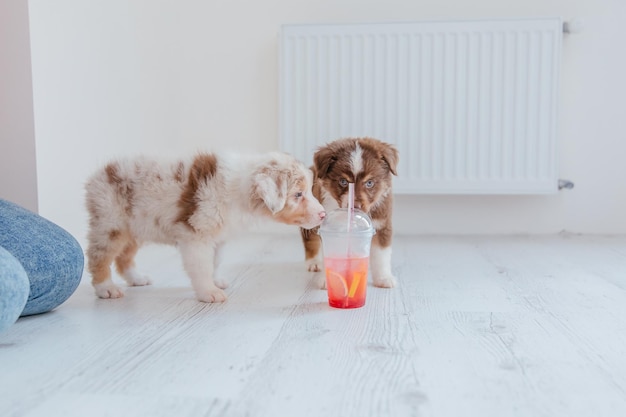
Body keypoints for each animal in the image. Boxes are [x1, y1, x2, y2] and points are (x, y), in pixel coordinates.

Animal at [84, 151, 324, 300]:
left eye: (310, 191)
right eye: (298, 194)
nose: (322, 214)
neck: (238, 188)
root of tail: (97, 174)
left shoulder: (218, 236)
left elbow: (215, 261)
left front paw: (215, 281)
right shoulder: (196, 235)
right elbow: (201, 266)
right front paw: (208, 292)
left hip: (135, 227)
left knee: (124, 257)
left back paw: (137, 279)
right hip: (110, 224)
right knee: (99, 257)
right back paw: (106, 288)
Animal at [300, 138, 398, 288]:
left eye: (369, 183)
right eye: (343, 181)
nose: (355, 206)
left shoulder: (382, 224)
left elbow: (381, 255)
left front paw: (384, 278)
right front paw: (328, 280)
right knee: (309, 238)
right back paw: (314, 263)